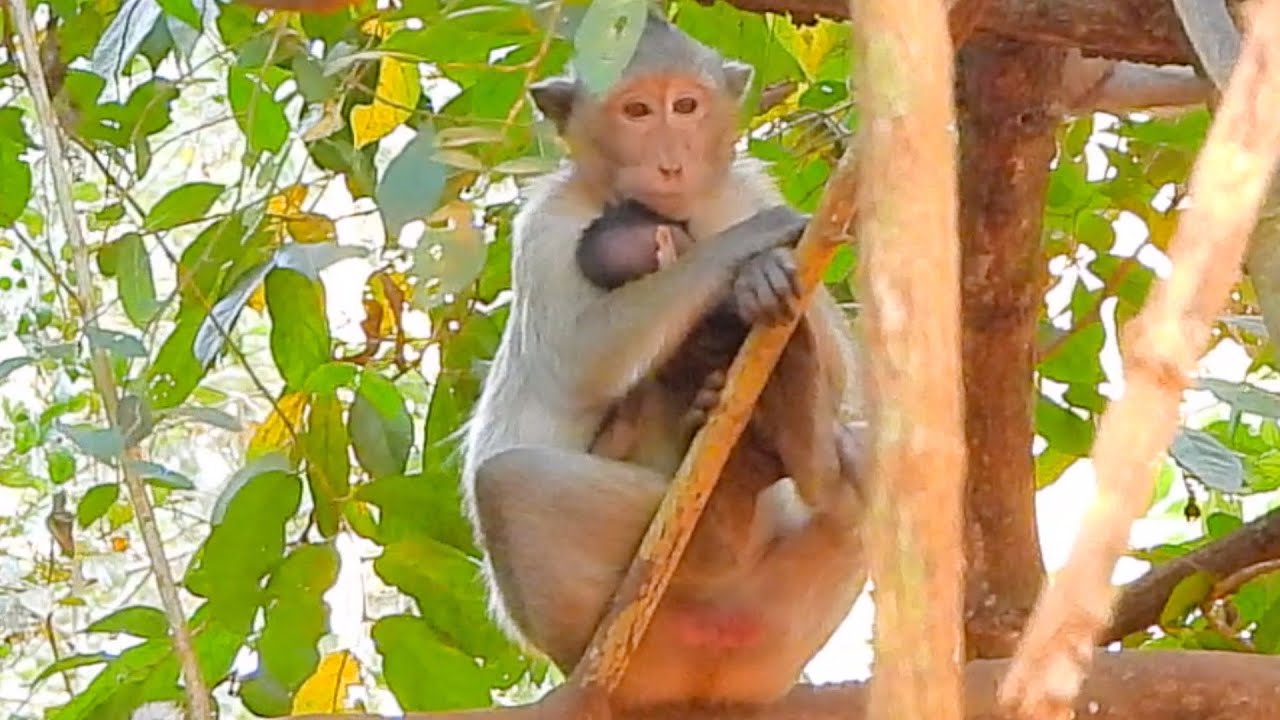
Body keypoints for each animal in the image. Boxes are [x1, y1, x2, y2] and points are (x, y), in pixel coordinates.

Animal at [461, 11, 867, 709]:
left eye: (685, 106)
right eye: (637, 111)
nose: (670, 162)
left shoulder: (744, 185)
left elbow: (843, 365)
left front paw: (764, 278)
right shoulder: (546, 225)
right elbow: (580, 361)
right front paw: (750, 250)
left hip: (782, 624)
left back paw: (803, 434)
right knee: (508, 483)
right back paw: (715, 526)